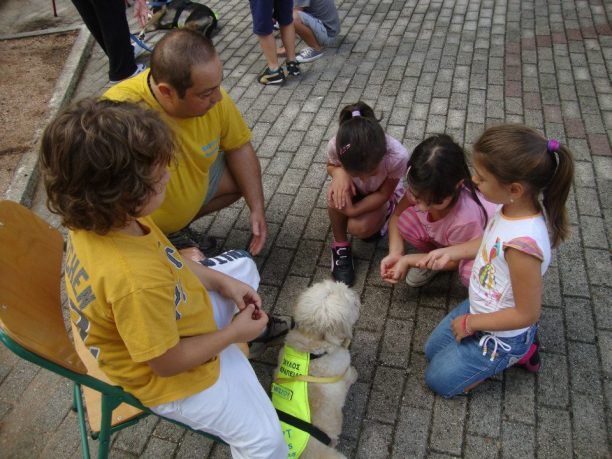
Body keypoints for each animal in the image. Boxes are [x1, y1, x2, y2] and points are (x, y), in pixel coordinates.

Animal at [272, 282, 358, 458]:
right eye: (348, 300)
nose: (354, 293)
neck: (311, 350)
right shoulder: (343, 367)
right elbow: (349, 374)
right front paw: (355, 374)